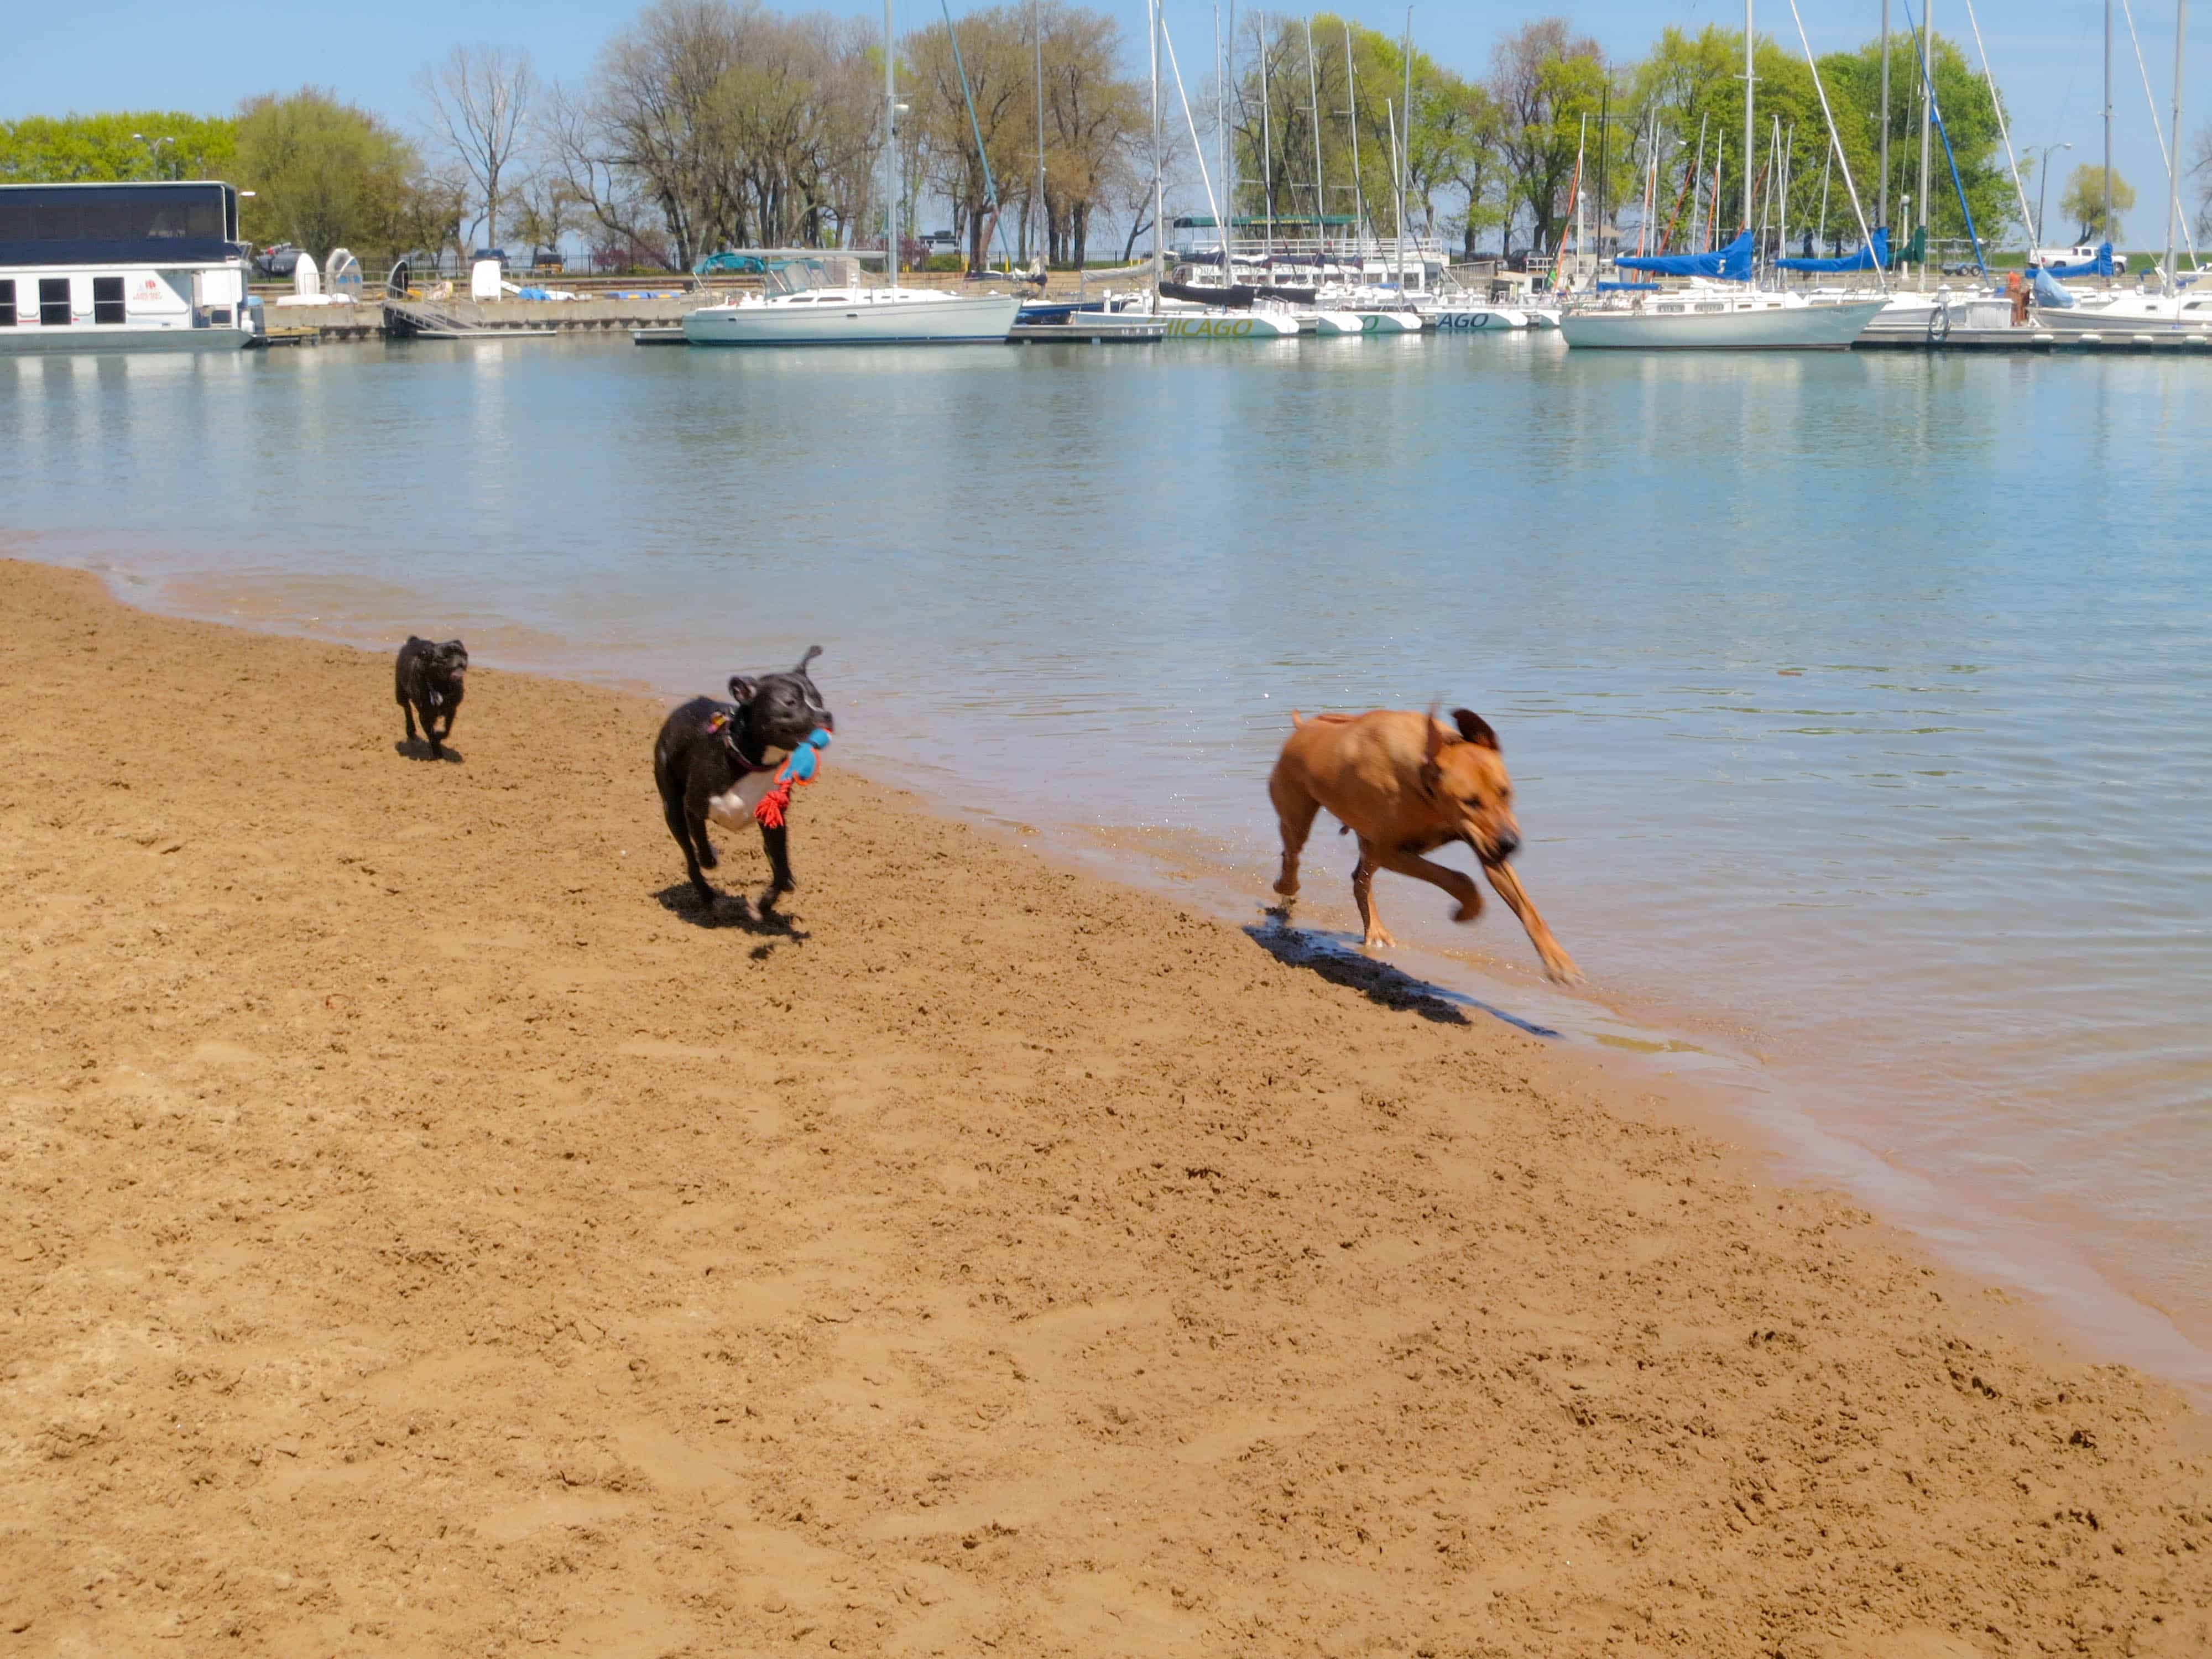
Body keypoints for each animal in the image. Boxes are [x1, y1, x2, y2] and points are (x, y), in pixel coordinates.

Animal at [396, 641, 469, 765]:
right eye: (444, 657)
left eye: (464, 655)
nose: (460, 660)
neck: (441, 687)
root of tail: (413, 640)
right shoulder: (424, 716)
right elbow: (431, 735)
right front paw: (438, 753)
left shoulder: (451, 710)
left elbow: (446, 730)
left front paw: (439, 736)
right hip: (401, 695)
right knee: (407, 709)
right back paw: (411, 730)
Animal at [655, 646, 836, 911]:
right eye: (790, 702)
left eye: (819, 700)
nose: (827, 715)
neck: (752, 763)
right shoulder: (694, 807)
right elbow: (702, 846)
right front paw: (710, 856)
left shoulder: (774, 819)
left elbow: (781, 868)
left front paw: (765, 904)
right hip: (673, 806)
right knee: (690, 856)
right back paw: (708, 895)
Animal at [1274, 703, 1584, 987]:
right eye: (1470, 802)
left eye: (1505, 792)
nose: (1511, 844)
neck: (1424, 784)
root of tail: (1303, 728)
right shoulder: (1390, 851)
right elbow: (1459, 879)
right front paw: (1466, 910)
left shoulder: (1484, 845)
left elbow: (1527, 907)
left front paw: (1559, 961)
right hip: (1299, 814)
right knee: (1293, 853)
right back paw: (1286, 886)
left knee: (1359, 879)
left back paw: (1375, 930)